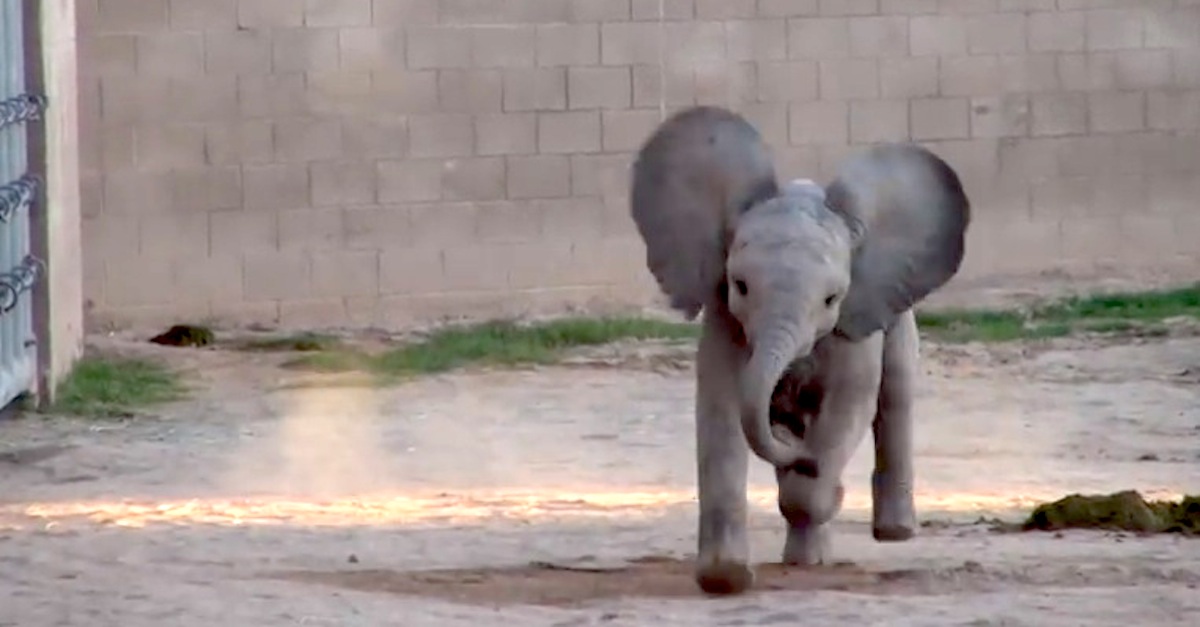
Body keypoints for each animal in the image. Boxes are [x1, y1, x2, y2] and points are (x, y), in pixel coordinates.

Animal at [633, 105, 969, 593]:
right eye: (740, 285)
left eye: (831, 299)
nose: (802, 458)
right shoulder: (724, 316)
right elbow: (720, 411)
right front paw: (725, 579)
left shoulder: (855, 324)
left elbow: (850, 405)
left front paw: (821, 487)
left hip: (898, 315)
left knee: (895, 396)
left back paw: (886, 533)